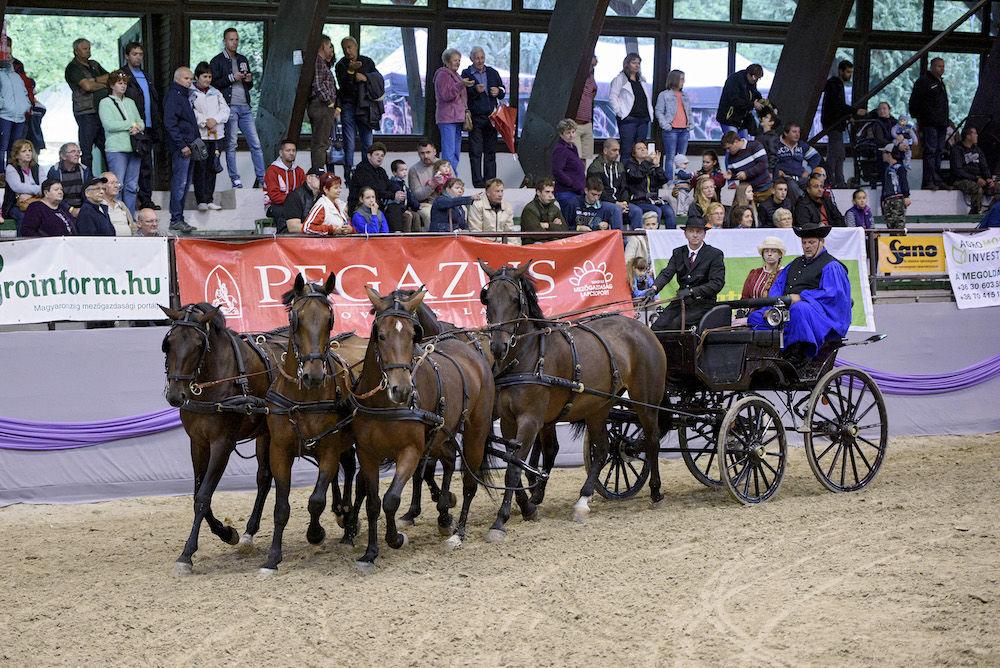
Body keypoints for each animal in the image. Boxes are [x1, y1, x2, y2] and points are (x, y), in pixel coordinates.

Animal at [160, 302, 280, 576]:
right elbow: (197, 495)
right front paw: (227, 532)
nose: (175, 395)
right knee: (264, 478)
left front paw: (186, 554)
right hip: (265, 433)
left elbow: (204, 496)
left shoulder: (222, 444)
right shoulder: (198, 444)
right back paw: (248, 533)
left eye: (198, 345)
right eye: (168, 343)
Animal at [258, 274, 368, 576]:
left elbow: (316, 500)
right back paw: (343, 512)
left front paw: (315, 533)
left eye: (330, 319)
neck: (302, 397)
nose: (314, 375)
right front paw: (272, 557)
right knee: (349, 469)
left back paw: (349, 525)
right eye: (296, 318)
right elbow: (281, 507)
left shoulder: (328, 448)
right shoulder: (280, 451)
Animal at [480, 258, 668, 540]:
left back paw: (655, 491)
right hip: (599, 407)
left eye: (515, 299)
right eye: (487, 298)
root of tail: (642, 327)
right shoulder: (508, 421)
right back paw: (582, 501)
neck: (527, 356)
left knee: (653, 440)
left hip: (645, 401)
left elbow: (514, 469)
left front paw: (500, 521)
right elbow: (515, 463)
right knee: (603, 449)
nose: (498, 346)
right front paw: (528, 507)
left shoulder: (530, 421)